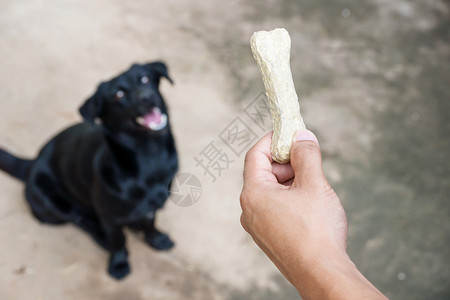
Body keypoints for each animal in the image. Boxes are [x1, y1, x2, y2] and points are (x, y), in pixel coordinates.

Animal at [0, 62, 178, 280]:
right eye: (118, 94)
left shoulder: (152, 206)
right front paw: (119, 263)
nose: (147, 96)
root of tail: (32, 163)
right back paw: (102, 237)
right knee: (80, 219)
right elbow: (118, 239)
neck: (150, 157)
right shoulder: (110, 217)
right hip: (53, 203)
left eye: (145, 79)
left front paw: (156, 239)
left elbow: (151, 223)